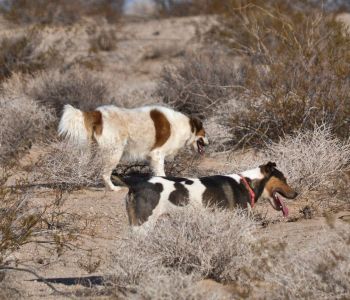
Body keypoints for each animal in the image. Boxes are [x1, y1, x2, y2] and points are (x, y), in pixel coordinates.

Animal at [58, 104, 209, 191]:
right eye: (204, 133)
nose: (209, 142)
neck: (184, 126)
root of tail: (97, 114)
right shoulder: (157, 154)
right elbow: (162, 173)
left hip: (89, 151)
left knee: (81, 167)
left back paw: (79, 182)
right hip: (114, 152)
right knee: (104, 173)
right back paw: (113, 188)